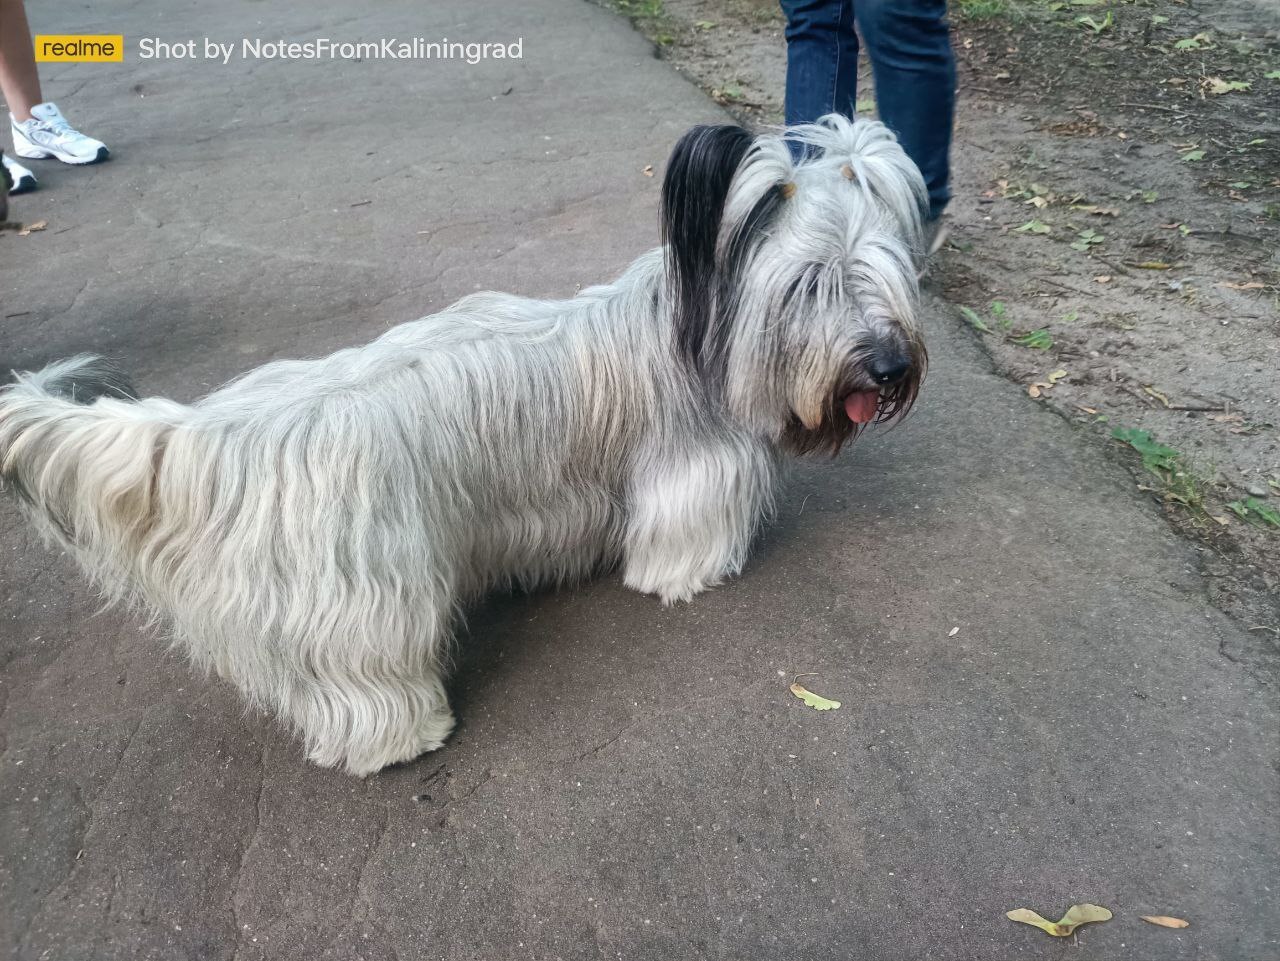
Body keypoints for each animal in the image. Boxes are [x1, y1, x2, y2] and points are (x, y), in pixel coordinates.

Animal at [0, 114, 926, 772]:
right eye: (809, 285)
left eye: (885, 273)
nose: (887, 366)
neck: (699, 323)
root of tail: (212, 433)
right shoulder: (687, 475)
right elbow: (680, 540)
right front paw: (696, 575)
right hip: (366, 590)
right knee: (364, 681)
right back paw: (403, 738)